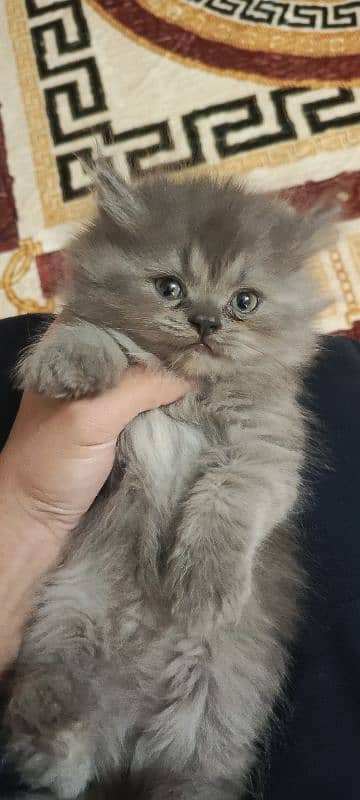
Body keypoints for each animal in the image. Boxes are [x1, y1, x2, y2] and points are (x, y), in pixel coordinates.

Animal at [4, 167, 332, 800]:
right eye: (170, 288)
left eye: (244, 301)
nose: (205, 322)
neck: (190, 395)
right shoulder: (110, 458)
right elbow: (92, 333)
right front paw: (66, 362)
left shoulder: (267, 452)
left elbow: (225, 499)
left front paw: (202, 585)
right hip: (66, 626)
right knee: (58, 716)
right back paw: (40, 751)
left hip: (214, 716)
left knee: (190, 774)